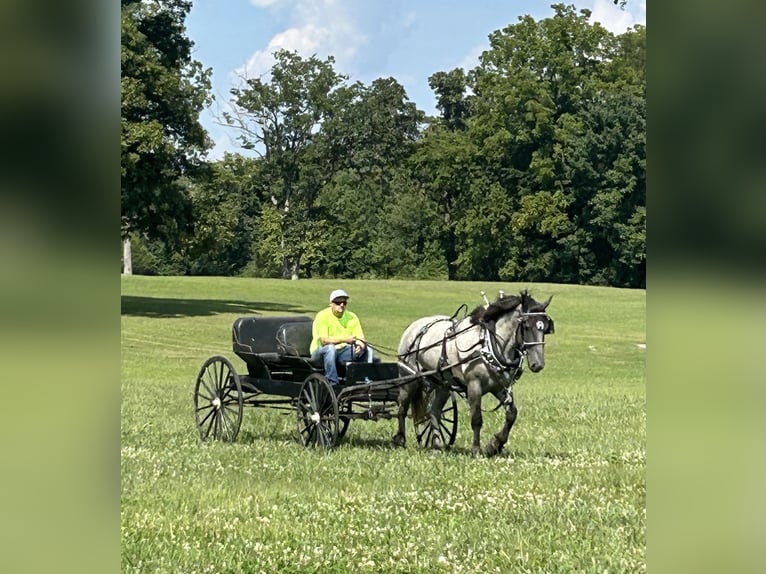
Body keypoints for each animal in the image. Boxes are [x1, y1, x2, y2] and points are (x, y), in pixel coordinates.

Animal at [400, 292, 556, 460]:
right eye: (526, 326)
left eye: (545, 328)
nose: (538, 364)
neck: (487, 344)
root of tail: (413, 326)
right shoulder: (474, 386)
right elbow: (476, 419)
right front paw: (477, 450)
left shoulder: (499, 387)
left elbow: (512, 414)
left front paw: (495, 445)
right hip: (409, 379)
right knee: (402, 408)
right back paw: (400, 440)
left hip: (443, 384)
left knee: (434, 412)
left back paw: (435, 446)